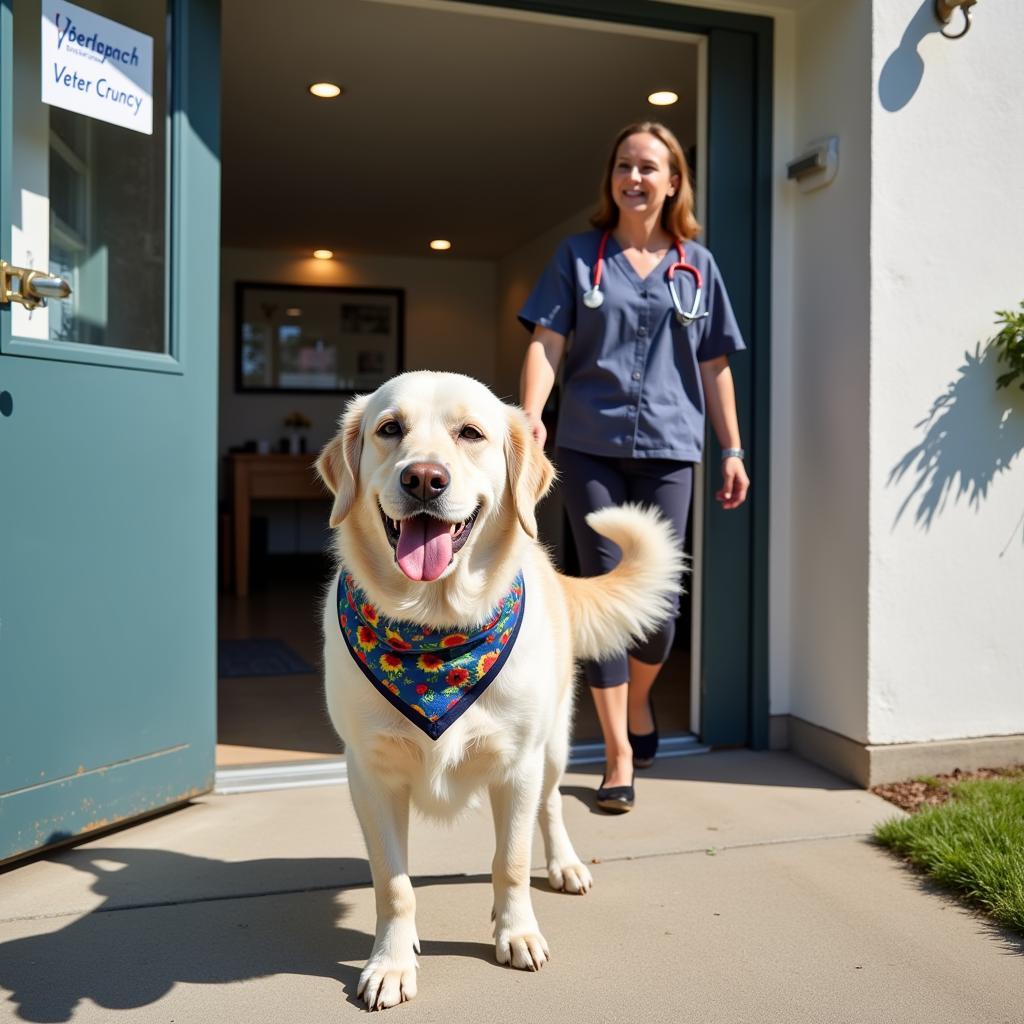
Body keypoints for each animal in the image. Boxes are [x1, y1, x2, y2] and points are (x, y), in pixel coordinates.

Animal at [315, 370, 684, 1007]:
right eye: (390, 429)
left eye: (471, 433)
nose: (424, 478)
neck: (435, 631)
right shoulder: (370, 773)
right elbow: (394, 883)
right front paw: (392, 962)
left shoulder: (517, 764)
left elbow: (510, 861)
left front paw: (517, 933)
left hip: (553, 746)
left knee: (552, 806)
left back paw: (565, 865)